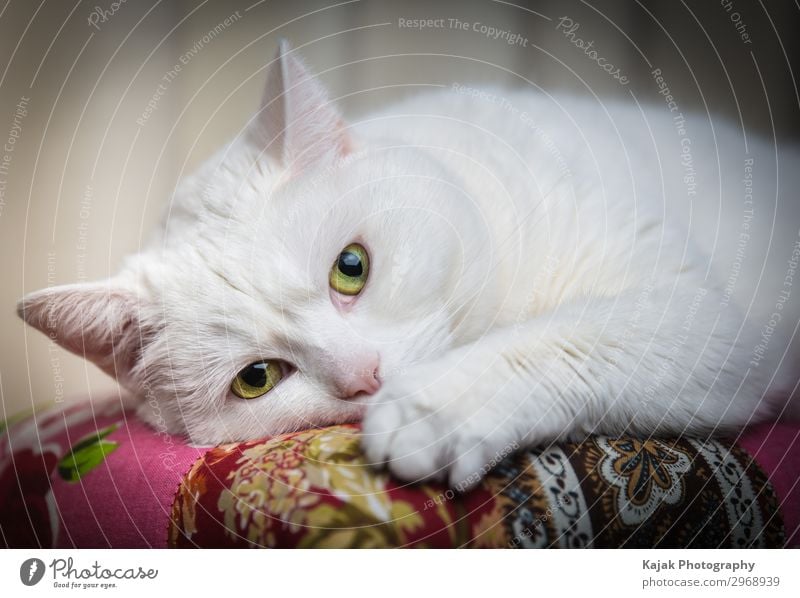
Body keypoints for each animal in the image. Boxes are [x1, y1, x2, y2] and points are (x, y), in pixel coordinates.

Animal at [17, 42, 792, 492]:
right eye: (256, 379)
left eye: (352, 267)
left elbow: (561, 339)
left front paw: (436, 409)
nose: (366, 377)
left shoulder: (699, 317)